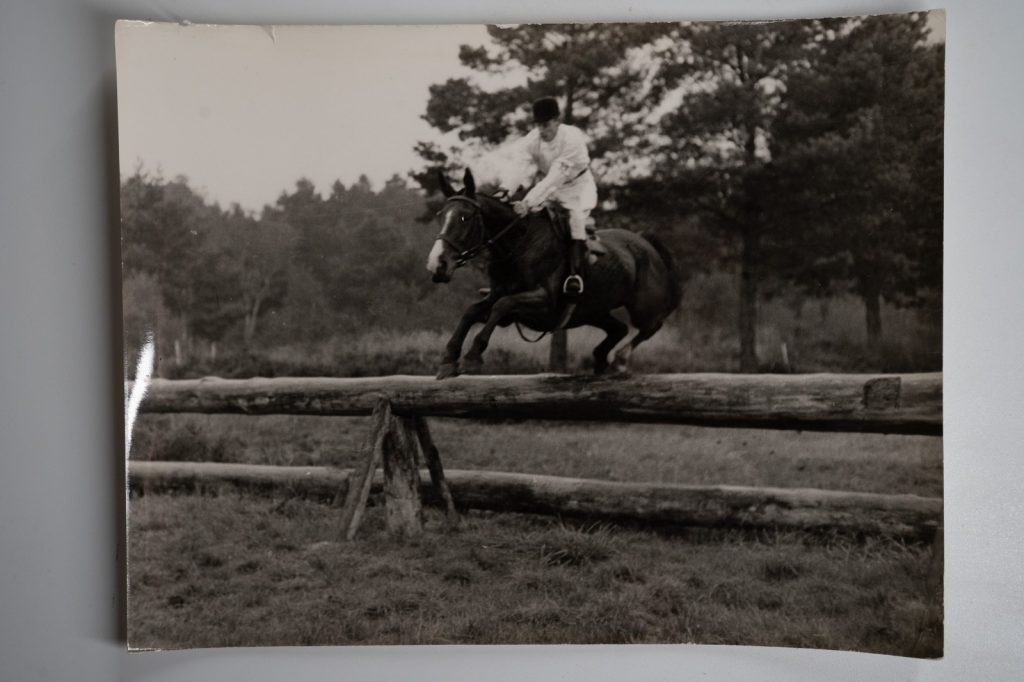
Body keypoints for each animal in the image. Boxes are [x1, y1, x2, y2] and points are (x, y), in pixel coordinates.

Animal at [426, 168, 682, 380]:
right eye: (440, 215)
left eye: (465, 218)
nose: (437, 264)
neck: (518, 246)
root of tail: (646, 241)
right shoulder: (498, 297)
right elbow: (472, 312)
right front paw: (448, 360)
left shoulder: (544, 301)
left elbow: (503, 305)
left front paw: (472, 357)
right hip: (592, 311)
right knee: (619, 328)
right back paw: (600, 358)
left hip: (642, 307)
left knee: (651, 326)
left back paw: (620, 359)